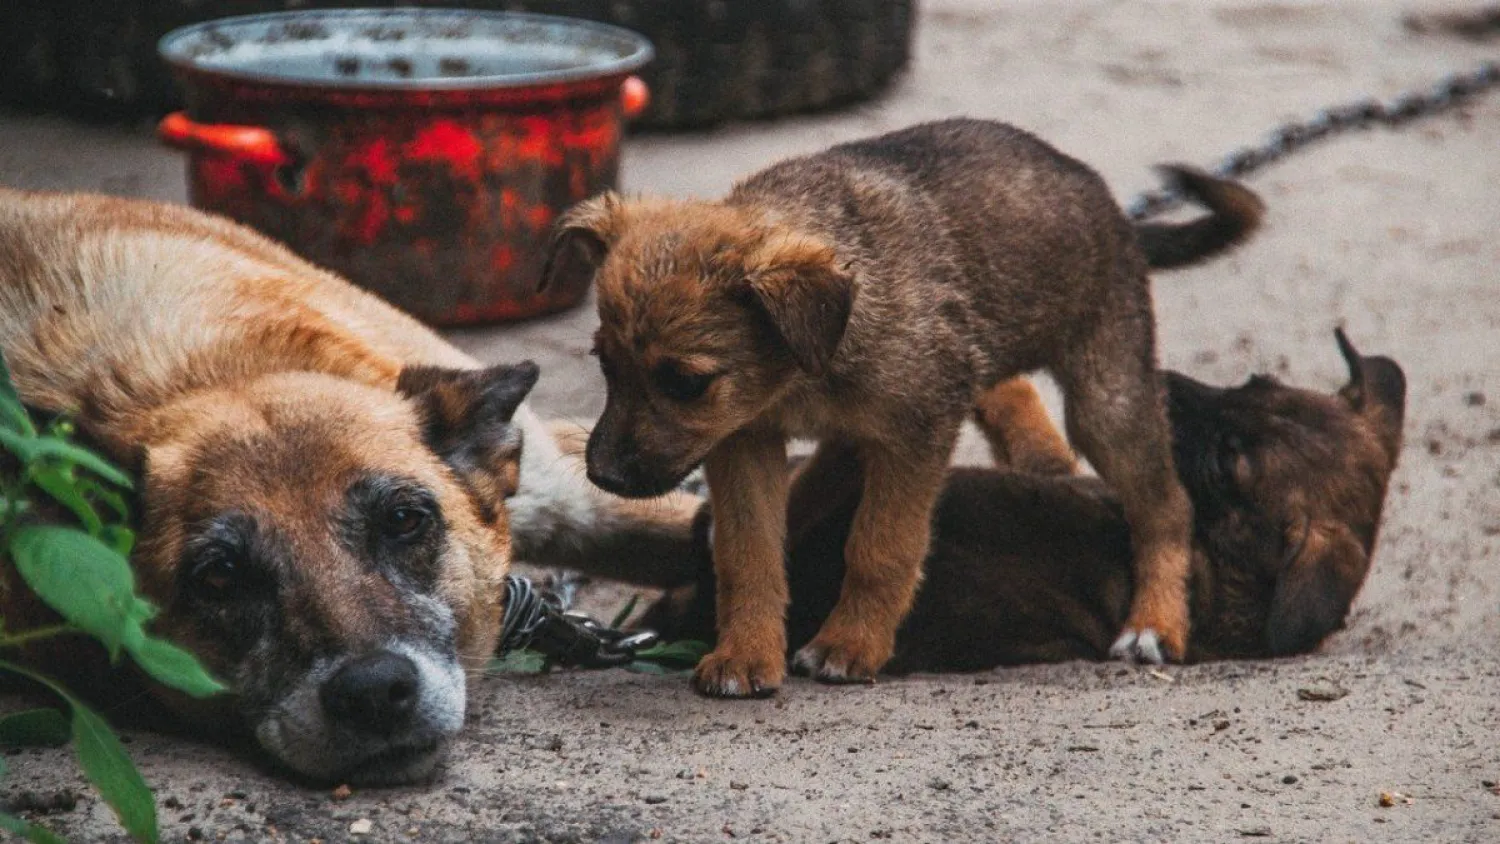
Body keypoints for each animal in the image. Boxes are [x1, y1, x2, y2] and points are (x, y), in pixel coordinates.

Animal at [546, 120, 1260, 701]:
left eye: (686, 383)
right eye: (605, 364)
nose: (602, 475)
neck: (809, 364)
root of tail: (1109, 205)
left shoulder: (915, 435)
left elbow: (879, 547)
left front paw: (850, 644)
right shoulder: (744, 440)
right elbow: (747, 553)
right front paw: (746, 653)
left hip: (1105, 398)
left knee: (1166, 504)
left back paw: (1154, 622)